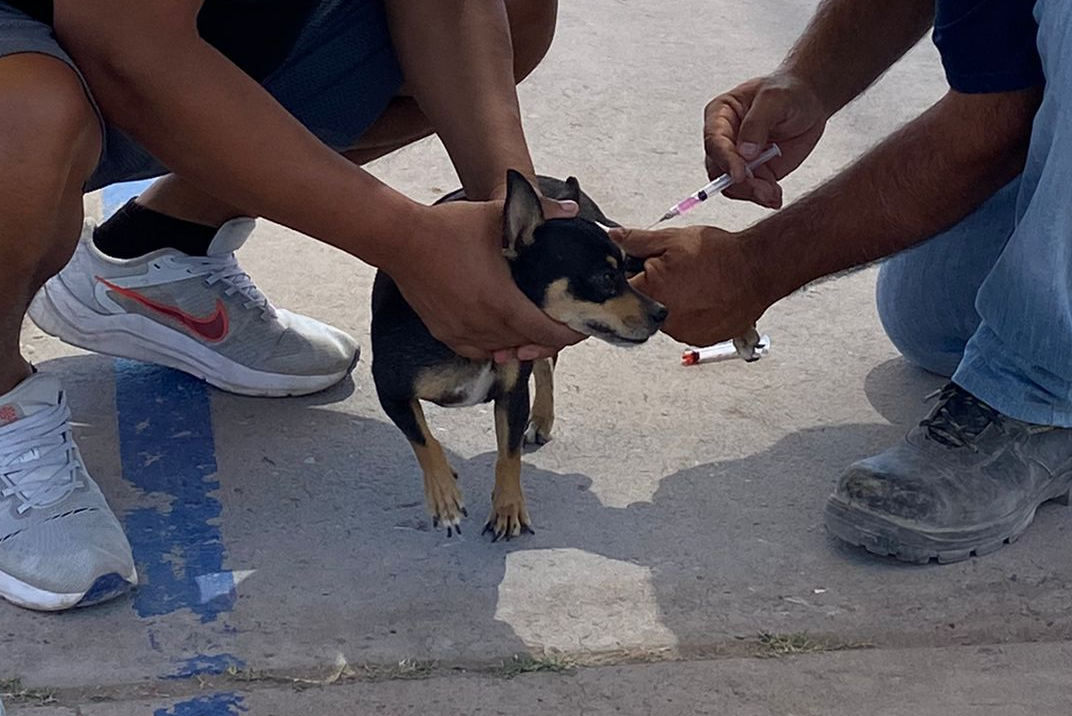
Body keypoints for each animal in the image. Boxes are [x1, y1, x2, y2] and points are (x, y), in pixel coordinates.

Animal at [373, 171, 664, 542]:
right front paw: (445, 498)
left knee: (546, 367)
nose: (662, 312)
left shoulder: (513, 394)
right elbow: (425, 440)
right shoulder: (391, 392)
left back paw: (541, 419)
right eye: (605, 277)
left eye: (627, 271)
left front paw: (508, 508)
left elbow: (508, 455)